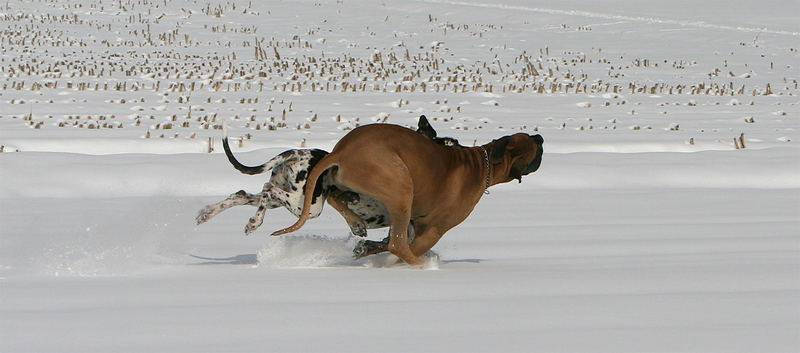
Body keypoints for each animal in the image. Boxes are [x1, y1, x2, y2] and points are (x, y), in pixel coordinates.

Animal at [195, 114, 456, 238]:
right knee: (267, 190)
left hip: (285, 198)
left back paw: (207, 213)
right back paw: (253, 222)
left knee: (241, 194)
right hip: (308, 205)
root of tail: (295, 153)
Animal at [276, 124, 544, 264]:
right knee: (399, 245)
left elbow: (382, 244)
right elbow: (403, 246)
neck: (483, 163)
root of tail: (341, 151)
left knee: (337, 197)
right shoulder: (434, 229)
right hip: (401, 187)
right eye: (534, 144)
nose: (540, 136)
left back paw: (356, 224)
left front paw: (365, 249)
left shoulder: (415, 223)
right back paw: (422, 267)